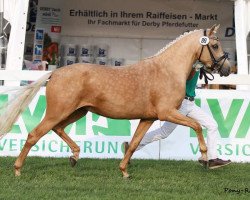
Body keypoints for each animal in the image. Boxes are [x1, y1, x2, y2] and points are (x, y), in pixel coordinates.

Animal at [0, 24, 230, 177]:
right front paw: (205, 157)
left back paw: (74, 157)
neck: (167, 71)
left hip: (78, 111)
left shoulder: (148, 118)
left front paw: (124, 171)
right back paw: (18, 170)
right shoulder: (167, 113)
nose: (226, 69)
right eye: (215, 45)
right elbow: (197, 125)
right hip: (59, 111)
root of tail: (54, 73)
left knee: (57, 129)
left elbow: (134, 143)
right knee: (34, 134)